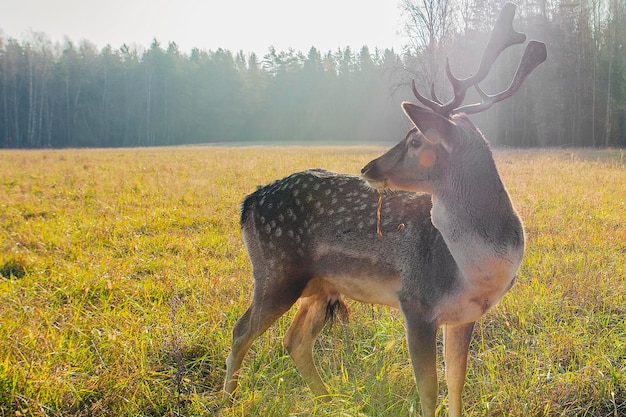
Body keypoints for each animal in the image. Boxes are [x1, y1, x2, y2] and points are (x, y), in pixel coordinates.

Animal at [222, 4, 544, 416]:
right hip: (276, 271)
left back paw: (330, 401)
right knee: (241, 331)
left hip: (319, 284)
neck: (473, 270)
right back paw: (227, 402)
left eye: (415, 139)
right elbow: (429, 390)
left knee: (294, 340)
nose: (368, 168)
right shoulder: (416, 302)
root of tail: (248, 202)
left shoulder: (464, 315)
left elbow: (457, 384)